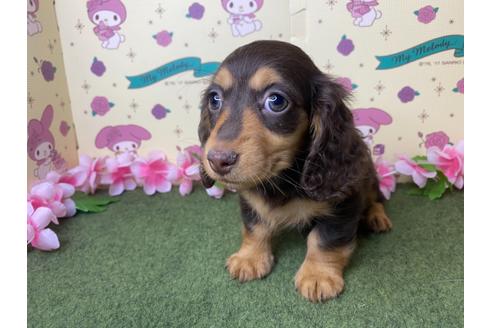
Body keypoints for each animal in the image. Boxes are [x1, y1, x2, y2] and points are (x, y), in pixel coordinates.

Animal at [196, 40, 392, 302]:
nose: (217, 160)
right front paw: (250, 257)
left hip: (368, 177)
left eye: (276, 101)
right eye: (214, 99)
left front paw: (318, 275)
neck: (284, 179)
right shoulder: (250, 199)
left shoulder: (344, 203)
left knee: (376, 199)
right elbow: (254, 227)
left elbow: (325, 239)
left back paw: (376, 217)